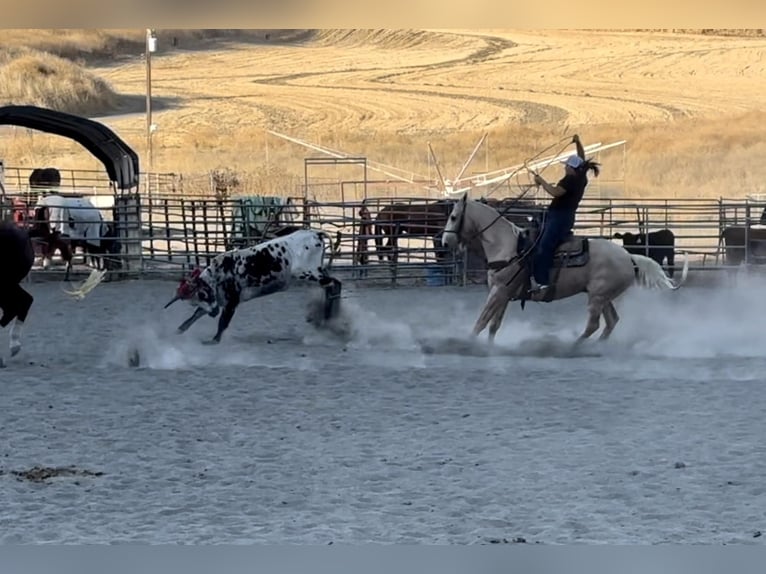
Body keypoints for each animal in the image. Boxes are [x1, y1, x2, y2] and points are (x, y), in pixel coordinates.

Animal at [166, 230, 344, 344]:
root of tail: (315, 234)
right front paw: (177, 331)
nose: (213, 314)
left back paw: (329, 318)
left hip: (309, 273)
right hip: (317, 272)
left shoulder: (231, 302)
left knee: (335, 284)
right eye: (194, 300)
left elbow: (223, 322)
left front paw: (214, 340)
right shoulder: (217, 302)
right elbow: (194, 316)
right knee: (331, 287)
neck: (217, 275)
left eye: (202, 294)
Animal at [440, 196, 692, 344]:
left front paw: (467, 344)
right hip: (602, 296)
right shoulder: (504, 293)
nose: (444, 242)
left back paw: (573, 346)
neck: (507, 245)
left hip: (597, 297)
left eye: (453, 217)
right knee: (611, 322)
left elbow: (482, 322)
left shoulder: (499, 291)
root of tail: (629, 256)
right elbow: (493, 325)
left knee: (593, 324)